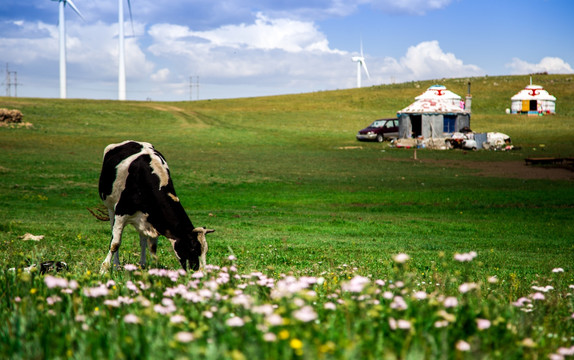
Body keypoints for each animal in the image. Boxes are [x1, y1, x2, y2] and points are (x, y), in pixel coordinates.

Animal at [99, 141, 216, 272]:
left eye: (205, 251)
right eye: (193, 248)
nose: (202, 273)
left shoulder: (154, 220)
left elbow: (153, 248)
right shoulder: (121, 212)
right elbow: (115, 243)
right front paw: (104, 269)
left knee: (143, 240)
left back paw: (142, 265)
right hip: (111, 208)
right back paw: (116, 265)